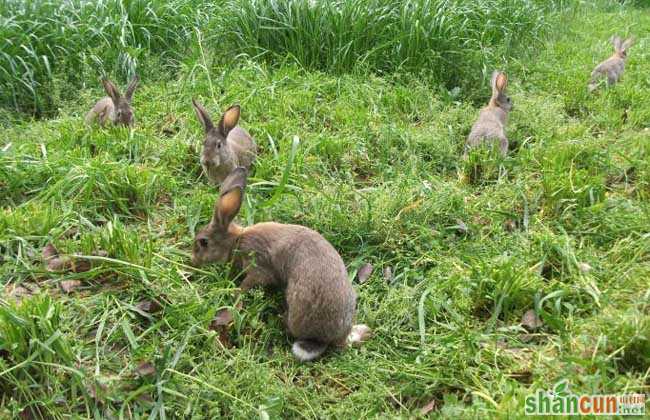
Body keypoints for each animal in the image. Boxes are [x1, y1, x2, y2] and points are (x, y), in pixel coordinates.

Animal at [191, 167, 370, 360]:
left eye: (203, 242)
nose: (193, 260)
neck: (237, 240)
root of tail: (329, 339)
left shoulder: (258, 265)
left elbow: (249, 283)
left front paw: (236, 294)